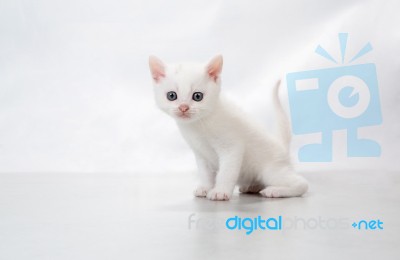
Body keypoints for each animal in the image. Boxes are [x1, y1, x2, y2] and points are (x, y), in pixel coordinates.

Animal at [148, 54, 308, 201]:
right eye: (172, 96)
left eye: (197, 96)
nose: (183, 107)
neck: (199, 125)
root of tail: (282, 148)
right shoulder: (201, 154)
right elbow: (205, 174)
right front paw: (205, 188)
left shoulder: (232, 148)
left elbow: (226, 172)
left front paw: (220, 191)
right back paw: (253, 186)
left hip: (270, 171)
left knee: (302, 184)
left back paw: (276, 191)